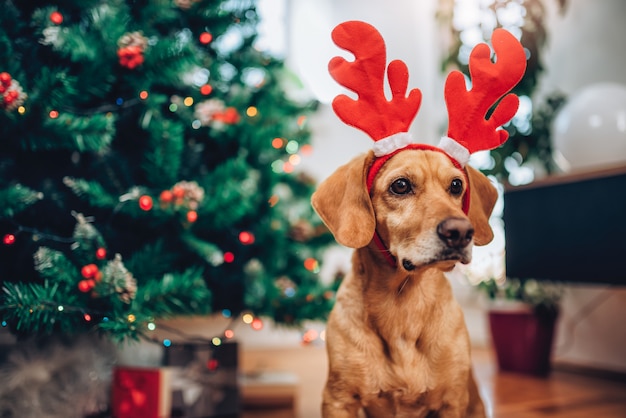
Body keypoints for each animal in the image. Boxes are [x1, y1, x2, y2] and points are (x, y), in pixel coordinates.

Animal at [310, 148, 494, 418]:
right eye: (401, 185)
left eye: (456, 185)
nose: (461, 232)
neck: (402, 305)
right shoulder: (338, 400)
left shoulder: (452, 402)